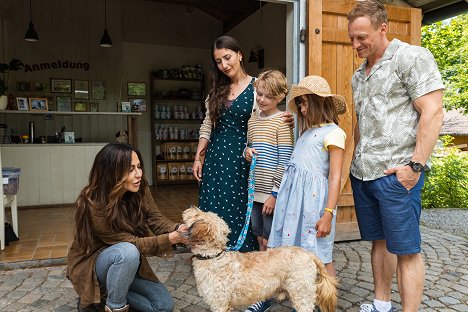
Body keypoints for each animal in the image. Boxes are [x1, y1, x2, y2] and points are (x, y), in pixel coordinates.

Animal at [182, 206, 336, 310]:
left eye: (198, 213)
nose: (191, 206)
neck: (213, 256)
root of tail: (308, 253)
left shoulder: (219, 304)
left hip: (302, 294)